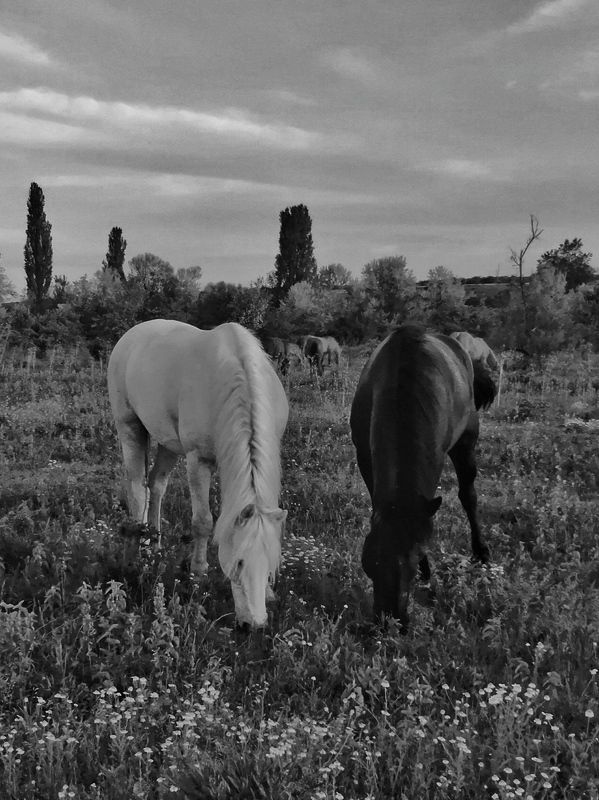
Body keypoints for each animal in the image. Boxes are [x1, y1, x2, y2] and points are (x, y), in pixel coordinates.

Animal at [107, 319, 289, 628]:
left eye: (270, 563)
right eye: (239, 562)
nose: (253, 625)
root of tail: (133, 333)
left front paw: (268, 592)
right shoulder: (198, 461)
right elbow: (203, 522)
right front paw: (198, 572)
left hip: (168, 442)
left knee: (156, 484)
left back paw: (154, 544)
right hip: (129, 426)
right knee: (138, 489)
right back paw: (140, 548)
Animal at [350, 324, 496, 629]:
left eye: (414, 559)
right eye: (370, 561)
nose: (391, 619)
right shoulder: (364, 455)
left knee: (468, 495)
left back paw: (481, 551)